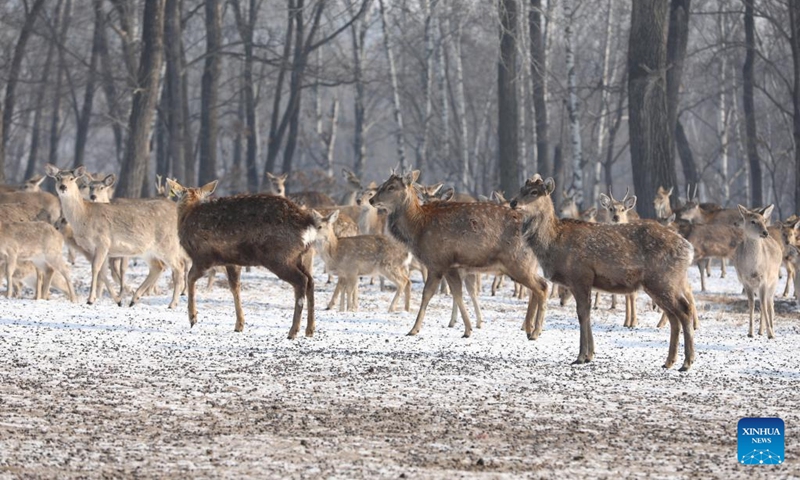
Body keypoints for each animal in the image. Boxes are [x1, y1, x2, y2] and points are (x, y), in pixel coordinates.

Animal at [45, 165, 186, 308]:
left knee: (178, 267)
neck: (84, 217)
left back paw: (172, 303)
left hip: (168, 243)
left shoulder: (102, 241)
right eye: (57, 178)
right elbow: (102, 272)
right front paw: (117, 300)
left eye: (72, 178)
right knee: (157, 267)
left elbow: (95, 268)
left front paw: (90, 299)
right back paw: (134, 299)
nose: (63, 187)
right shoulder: (97, 249)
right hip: (147, 250)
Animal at [167, 177, 318, 338]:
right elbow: (235, 287)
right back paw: (310, 329)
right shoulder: (231, 261)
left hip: (279, 256)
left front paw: (193, 317)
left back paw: (293, 331)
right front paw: (239, 324)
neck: (187, 213)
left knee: (301, 280)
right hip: (297, 256)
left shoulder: (203, 256)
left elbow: (190, 278)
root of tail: (308, 224)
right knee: (310, 280)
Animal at [370, 171, 552, 340]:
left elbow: (427, 294)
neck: (418, 228)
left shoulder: (437, 262)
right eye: (383, 184)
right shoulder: (452, 266)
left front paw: (413, 329)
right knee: (537, 287)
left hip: (518, 262)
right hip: (524, 264)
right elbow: (458, 293)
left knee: (542, 287)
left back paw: (535, 332)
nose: (371, 200)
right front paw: (468, 329)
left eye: (391, 187)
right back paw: (529, 329)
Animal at [510, 176, 696, 372]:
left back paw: (687, 362)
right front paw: (590, 355)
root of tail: (689, 249)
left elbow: (582, 313)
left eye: (534, 192)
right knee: (674, 316)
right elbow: (586, 313)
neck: (554, 242)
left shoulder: (580, 275)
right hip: (661, 283)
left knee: (684, 311)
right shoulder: (582, 281)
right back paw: (669, 361)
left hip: (663, 280)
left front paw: (581, 356)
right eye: (522, 189)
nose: (513, 202)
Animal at [736, 204, 784, 340]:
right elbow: (751, 304)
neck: (753, 269)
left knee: (770, 304)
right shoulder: (746, 282)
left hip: (774, 282)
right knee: (764, 304)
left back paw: (771, 329)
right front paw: (750, 332)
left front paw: (770, 333)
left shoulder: (764, 279)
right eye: (753, 221)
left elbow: (763, 304)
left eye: (764, 220)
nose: (765, 232)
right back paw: (760, 331)